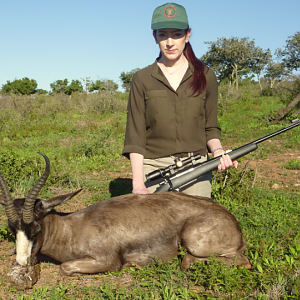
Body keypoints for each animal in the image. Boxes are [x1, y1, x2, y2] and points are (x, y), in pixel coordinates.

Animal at [0, 152, 251, 288]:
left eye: (35, 229)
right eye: (13, 230)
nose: (22, 263)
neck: (72, 227)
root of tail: (234, 223)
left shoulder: (107, 261)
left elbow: (65, 267)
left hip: (195, 244)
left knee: (220, 261)